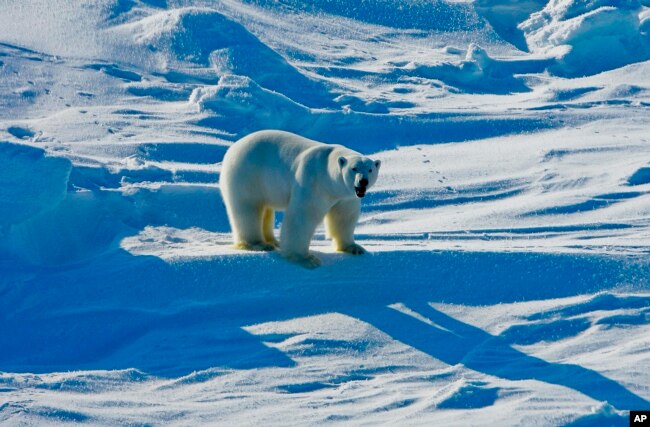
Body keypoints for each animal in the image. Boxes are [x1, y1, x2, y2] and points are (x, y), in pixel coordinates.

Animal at [219, 130, 380, 268]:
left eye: (370, 169)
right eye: (354, 168)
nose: (363, 182)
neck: (327, 175)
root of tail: (233, 147)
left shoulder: (346, 196)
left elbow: (344, 217)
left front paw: (354, 248)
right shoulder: (313, 183)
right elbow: (302, 216)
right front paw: (306, 259)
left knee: (265, 209)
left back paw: (273, 241)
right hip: (247, 174)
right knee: (248, 208)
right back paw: (258, 244)